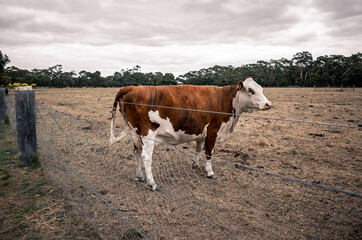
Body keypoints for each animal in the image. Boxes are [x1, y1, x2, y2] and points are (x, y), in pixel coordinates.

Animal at [110, 76, 272, 189]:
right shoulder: (213, 130)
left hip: (135, 132)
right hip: (147, 133)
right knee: (146, 156)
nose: (268, 104)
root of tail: (131, 88)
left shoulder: (202, 132)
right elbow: (209, 153)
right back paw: (152, 183)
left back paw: (139, 176)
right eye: (251, 91)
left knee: (137, 152)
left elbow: (198, 149)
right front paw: (210, 172)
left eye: (262, 89)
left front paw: (195, 164)